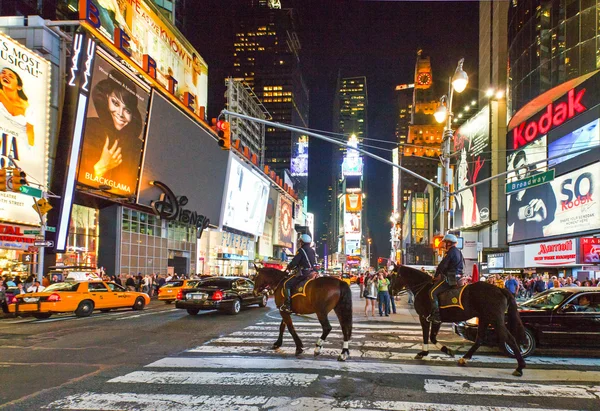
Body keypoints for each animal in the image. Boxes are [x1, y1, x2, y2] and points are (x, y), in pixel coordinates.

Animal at [390, 266, 524, 378]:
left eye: (394, 276)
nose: (391, 292)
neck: (423, 287)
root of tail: (500, 290)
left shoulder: (424, 318)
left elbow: (427, 336)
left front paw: (424, 352)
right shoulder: (436, 321)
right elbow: (432, 337)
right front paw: (447, 350)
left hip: (495, 320)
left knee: (510, 339)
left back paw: (520, 367)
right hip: (485, 318)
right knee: (480, 339)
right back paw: (465, 358)